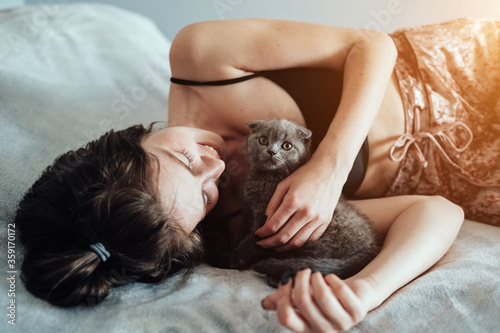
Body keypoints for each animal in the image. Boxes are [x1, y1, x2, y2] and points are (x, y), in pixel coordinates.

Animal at [229, 118, 380, 286]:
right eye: (263, 140)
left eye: (286, 145)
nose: (271, 151)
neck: (265, 177)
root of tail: (371, 246)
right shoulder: (247, 211)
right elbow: (241, 232)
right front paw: (232, 247)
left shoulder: (269, 222)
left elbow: (251, 241)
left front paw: (234, 258)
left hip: (313, 239)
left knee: (309, 265)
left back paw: (279, 276)